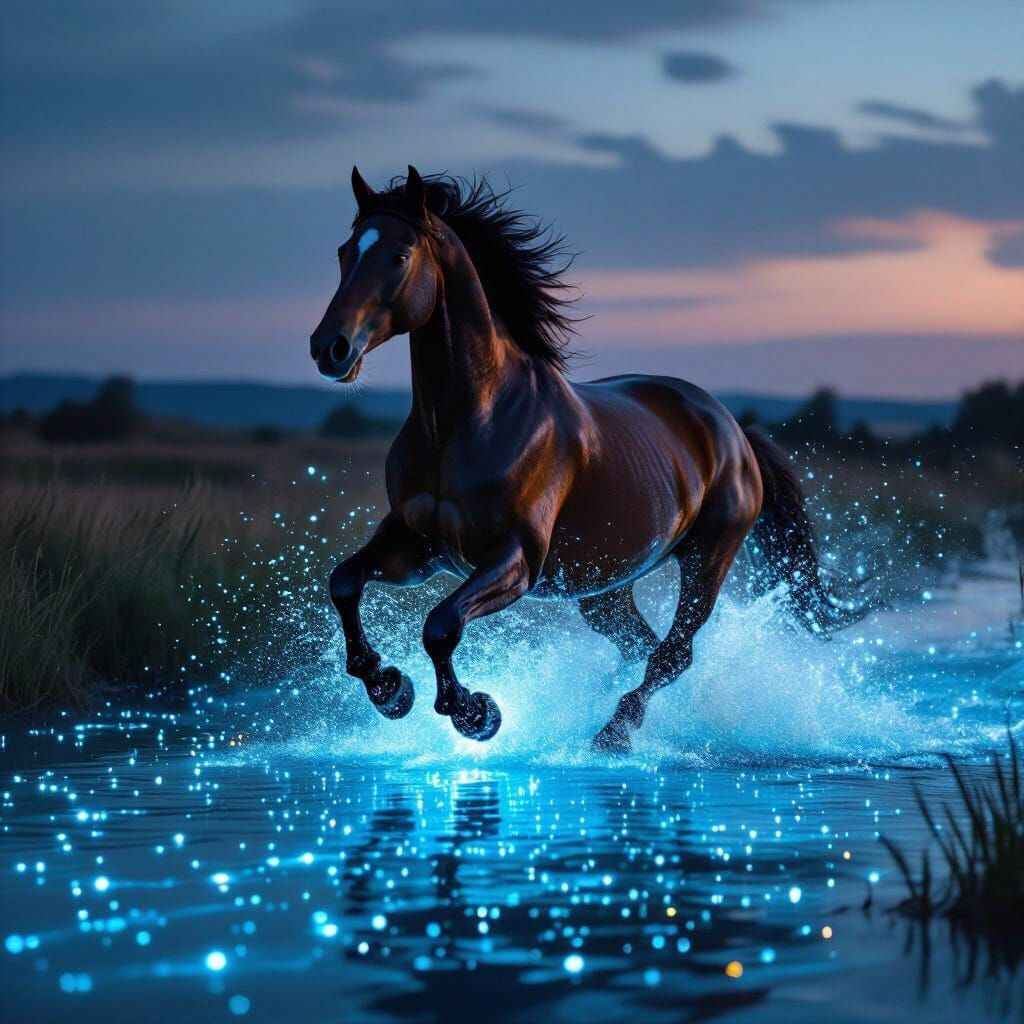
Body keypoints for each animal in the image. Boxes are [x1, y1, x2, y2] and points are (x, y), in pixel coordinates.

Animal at [309, 165, 862, 753]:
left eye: (399, 255)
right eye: (345, 251)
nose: (330, 348)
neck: (464, 424)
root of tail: (733, 431)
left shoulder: (516, 559)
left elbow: (441, 625)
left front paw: (476, 713)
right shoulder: (418, 545)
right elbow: (344, 583)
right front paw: (389, 688)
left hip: (708, 558)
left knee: (674, 653)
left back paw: (612, 734)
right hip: (607, 587)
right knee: (642, 644)